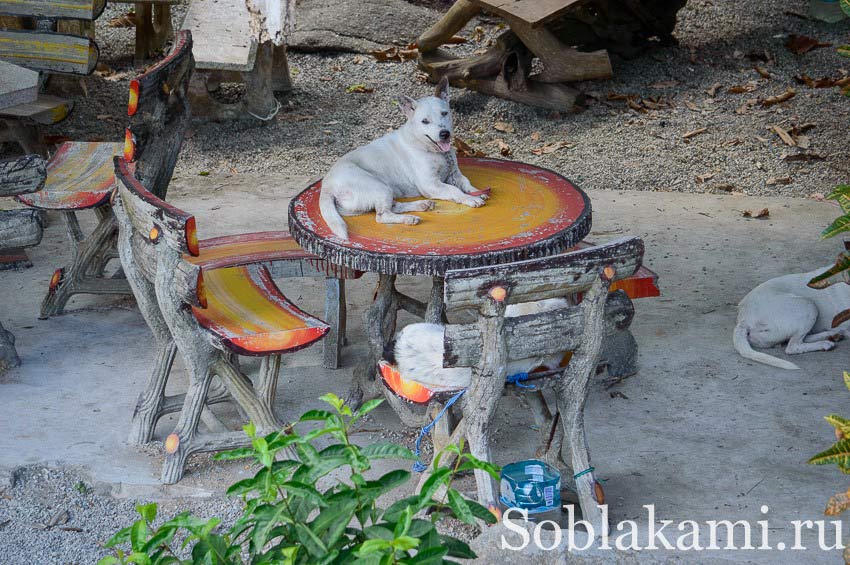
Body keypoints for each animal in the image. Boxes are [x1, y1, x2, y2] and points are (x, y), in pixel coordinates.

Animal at [318, 76, 486, 239]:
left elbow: (466, 183)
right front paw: (470, 198)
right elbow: (454, 190)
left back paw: (421, 205)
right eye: (425, 121)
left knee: (393, 206)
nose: (444, 134)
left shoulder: (454, 174)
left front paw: (476, 192)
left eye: (444, 113)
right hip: (379, 187)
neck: (433, 150)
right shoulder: (431, 184)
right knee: (382, 216)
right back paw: (408, 218)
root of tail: (327, 186)